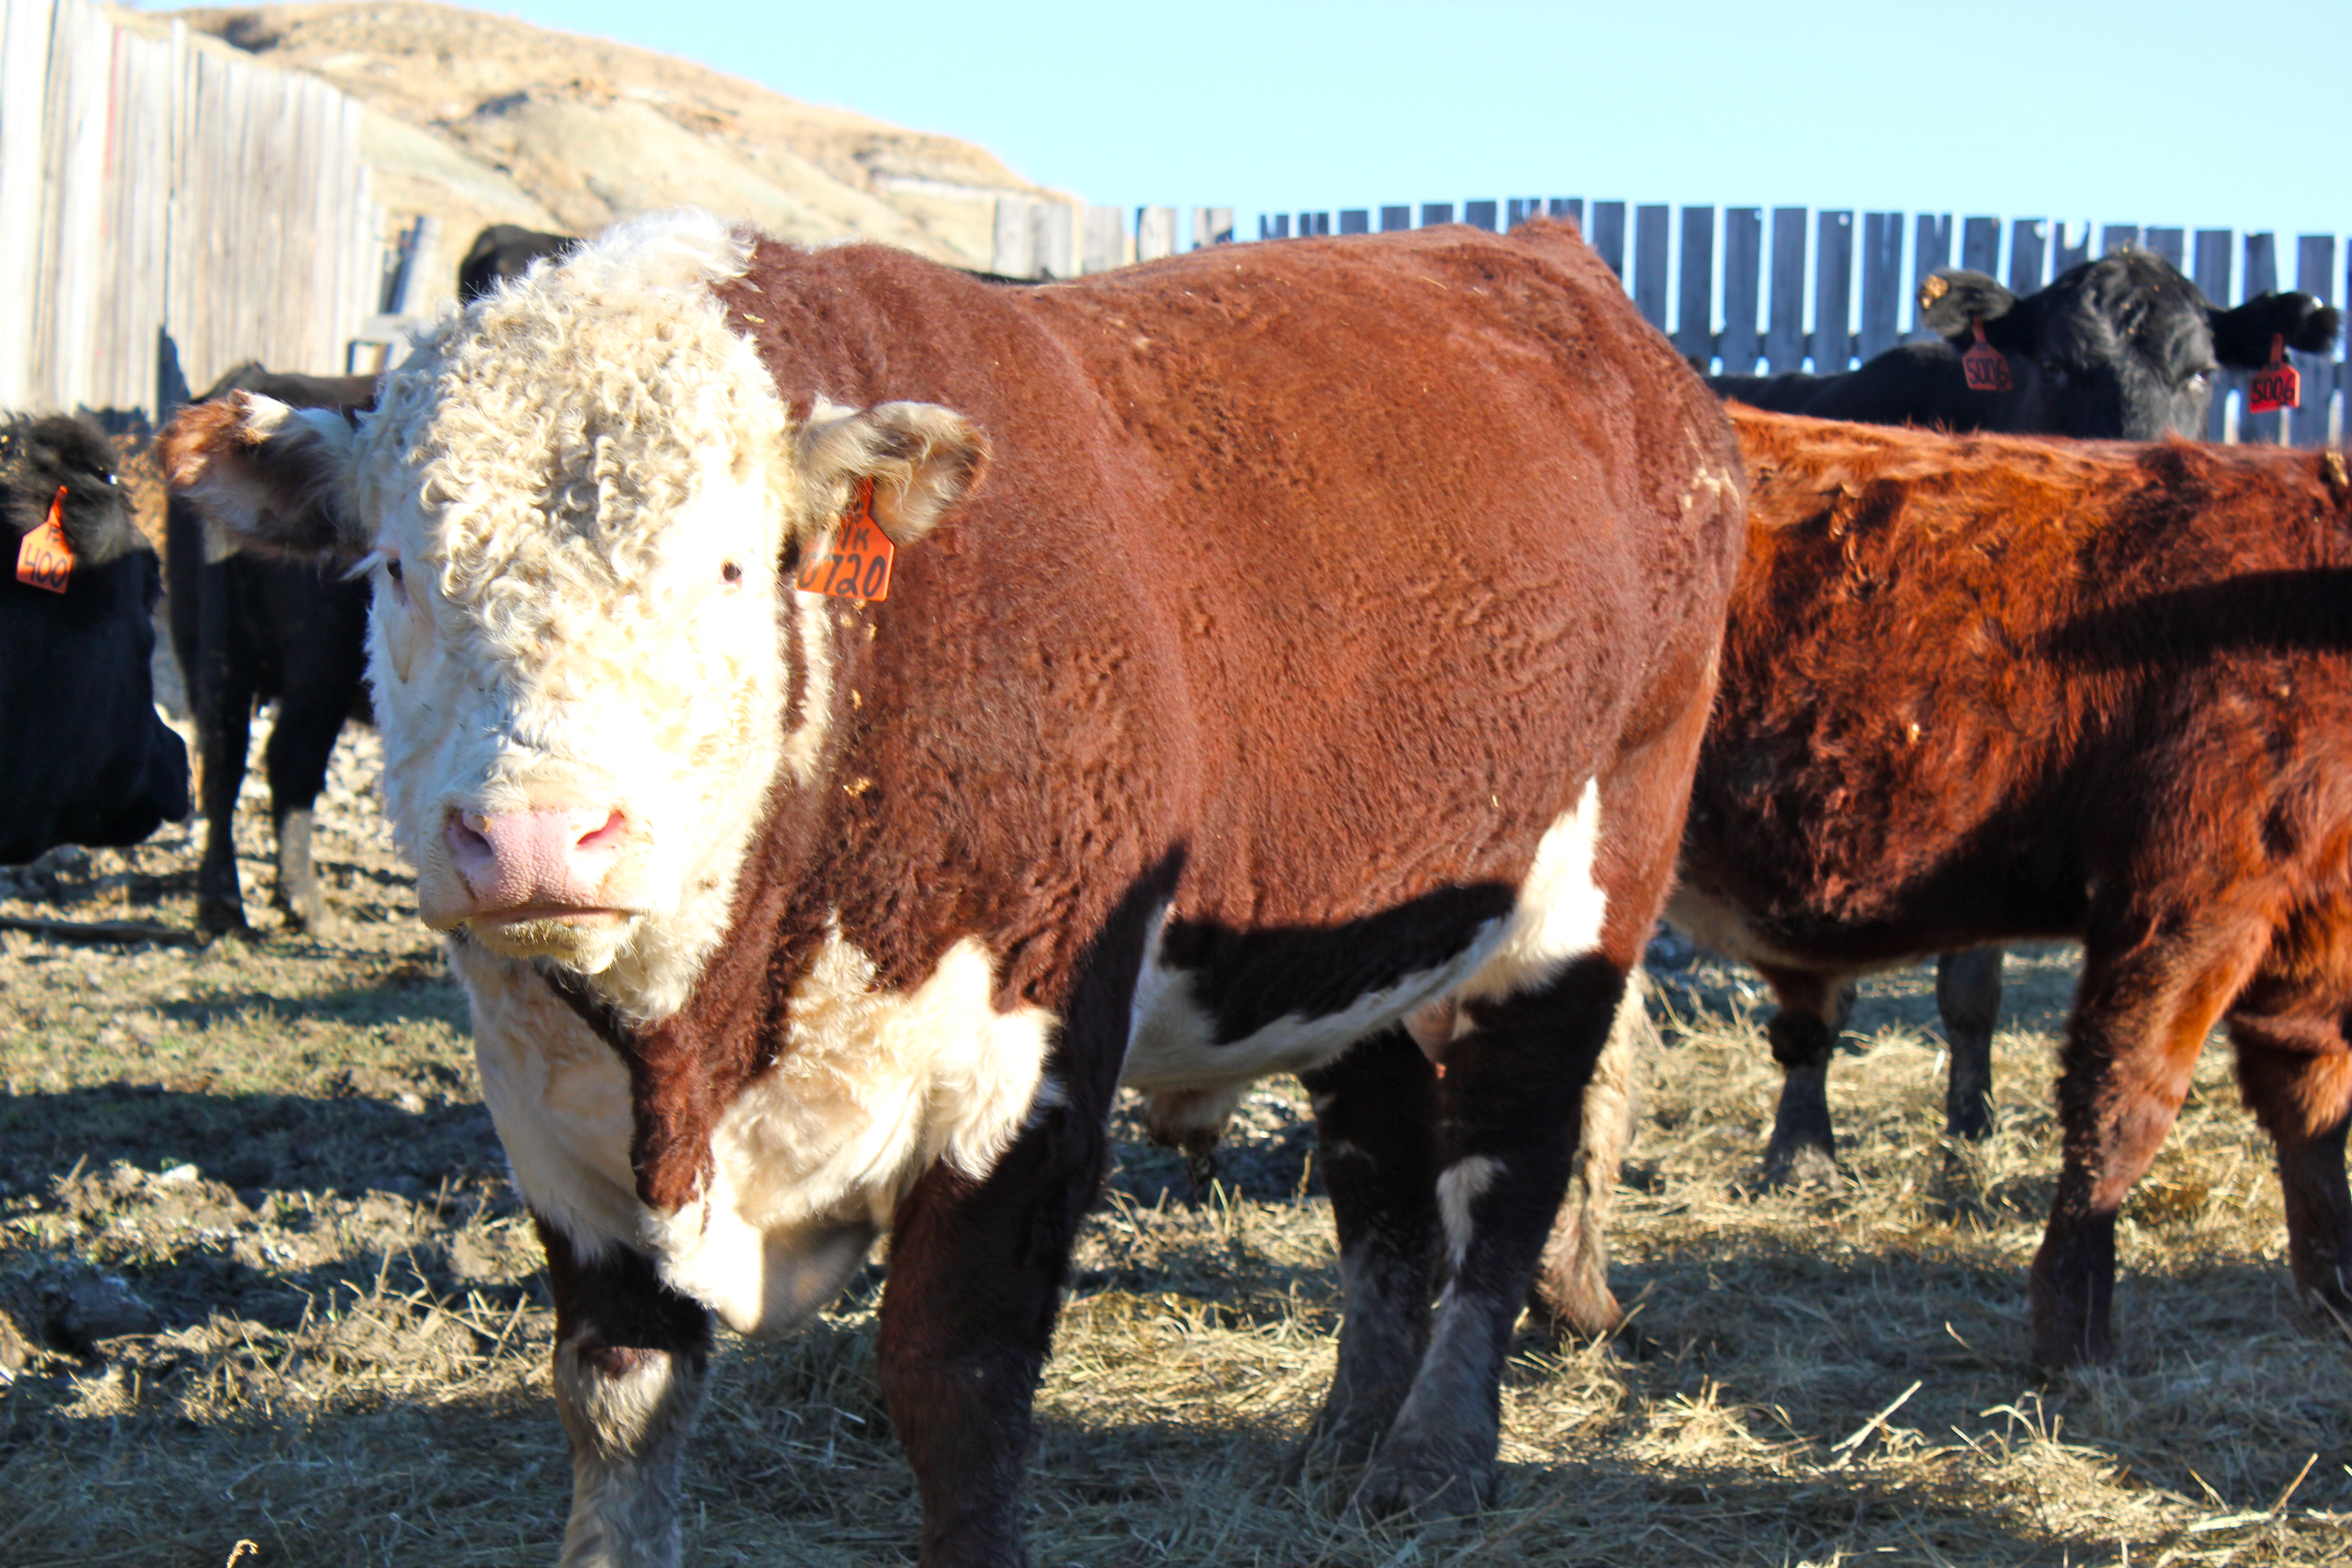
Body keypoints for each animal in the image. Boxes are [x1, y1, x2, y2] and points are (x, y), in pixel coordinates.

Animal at [165, 365, 378, 934]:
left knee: (222, 758)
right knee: (289, 762)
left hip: (205, 653)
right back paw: (306, 904)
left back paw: (221, 904)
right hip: (322, 668)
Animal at [1546, 406, 2352, 1370]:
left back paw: (1582, 1312)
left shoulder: (2309, 923)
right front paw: (2073, 1337)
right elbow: (2121, 1104)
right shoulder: (2187, 898)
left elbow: (2311, 1103)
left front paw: (2334, 1293)